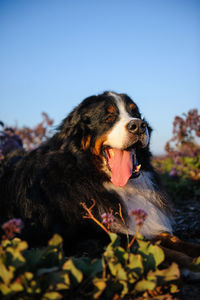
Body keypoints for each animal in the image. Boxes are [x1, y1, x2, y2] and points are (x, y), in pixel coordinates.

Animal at [0, 91, 199, 276]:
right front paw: (189, 262)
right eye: (109, 117)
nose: (138, 126)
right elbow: (146, 246)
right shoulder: (87, 237)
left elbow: (171, 239)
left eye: (136, 113)